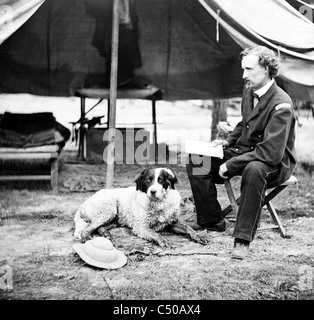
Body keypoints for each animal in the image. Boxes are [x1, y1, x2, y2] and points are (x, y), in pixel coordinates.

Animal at [73, 168, 206, 248]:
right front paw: (163, 240)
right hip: (109, 210)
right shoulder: (141, 227)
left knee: (98, 227)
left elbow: (188, 228)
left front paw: (198, 236)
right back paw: (86, 238)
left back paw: (106, 234)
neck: (158, 204)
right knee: (87, 229)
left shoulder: (171, 223)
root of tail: (84, 203)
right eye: (148, 180)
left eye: (160, 180)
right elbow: (154, 233)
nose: (153, 191)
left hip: (115, 219)